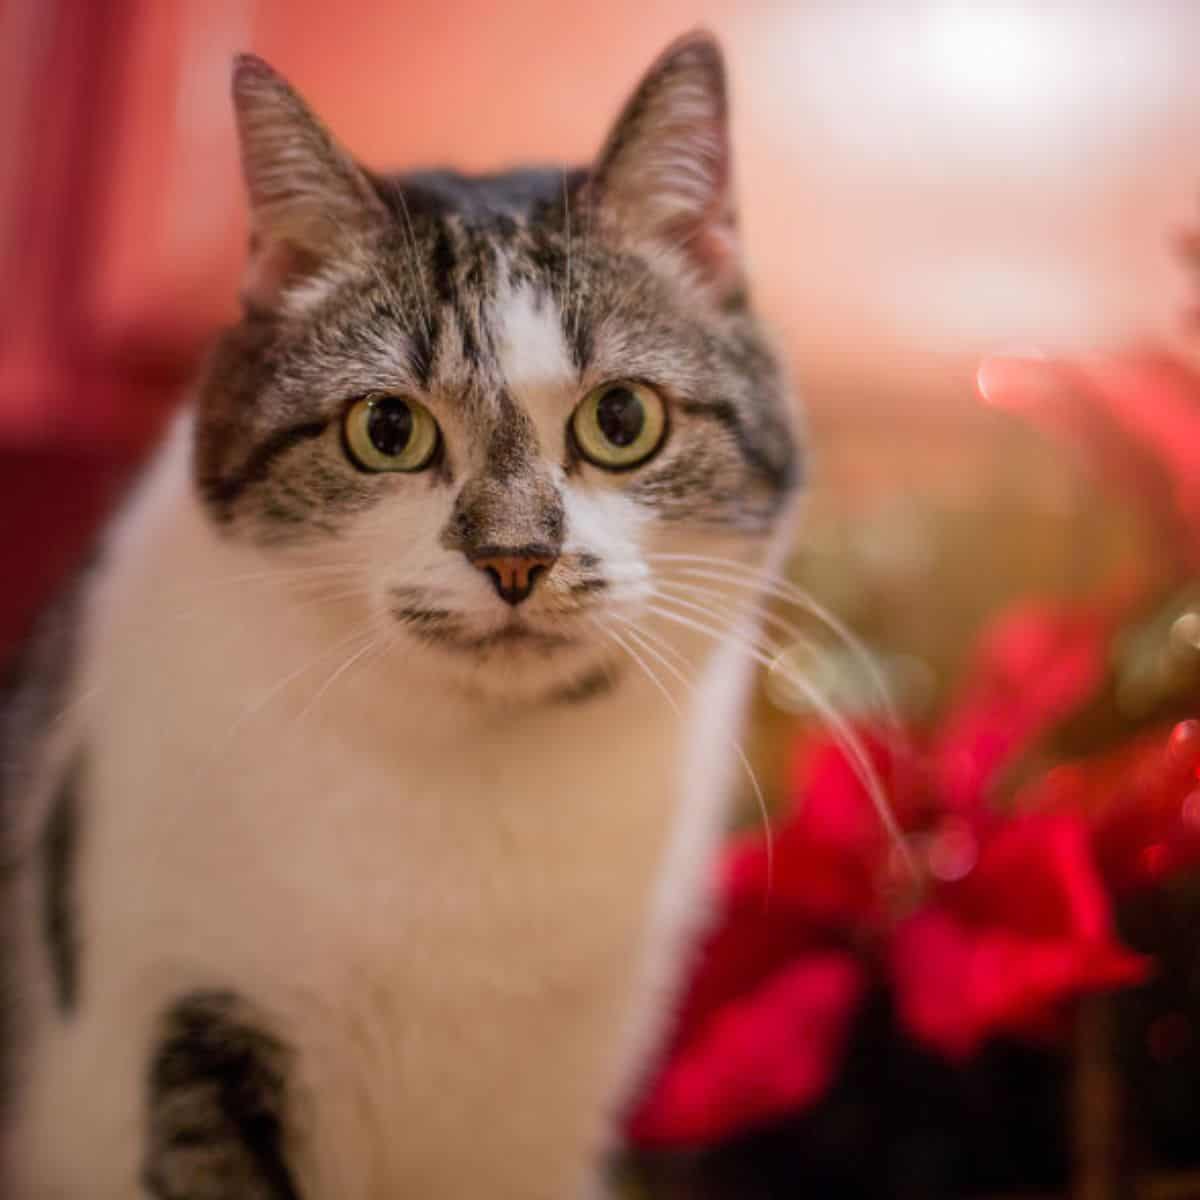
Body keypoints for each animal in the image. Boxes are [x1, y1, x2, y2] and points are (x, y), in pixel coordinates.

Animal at [4, 28, 801, 1200]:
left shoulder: (545, 1122)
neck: (478, 791)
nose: (516, 555)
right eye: (387, 430)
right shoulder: (192, 1028)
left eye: (622, 419)